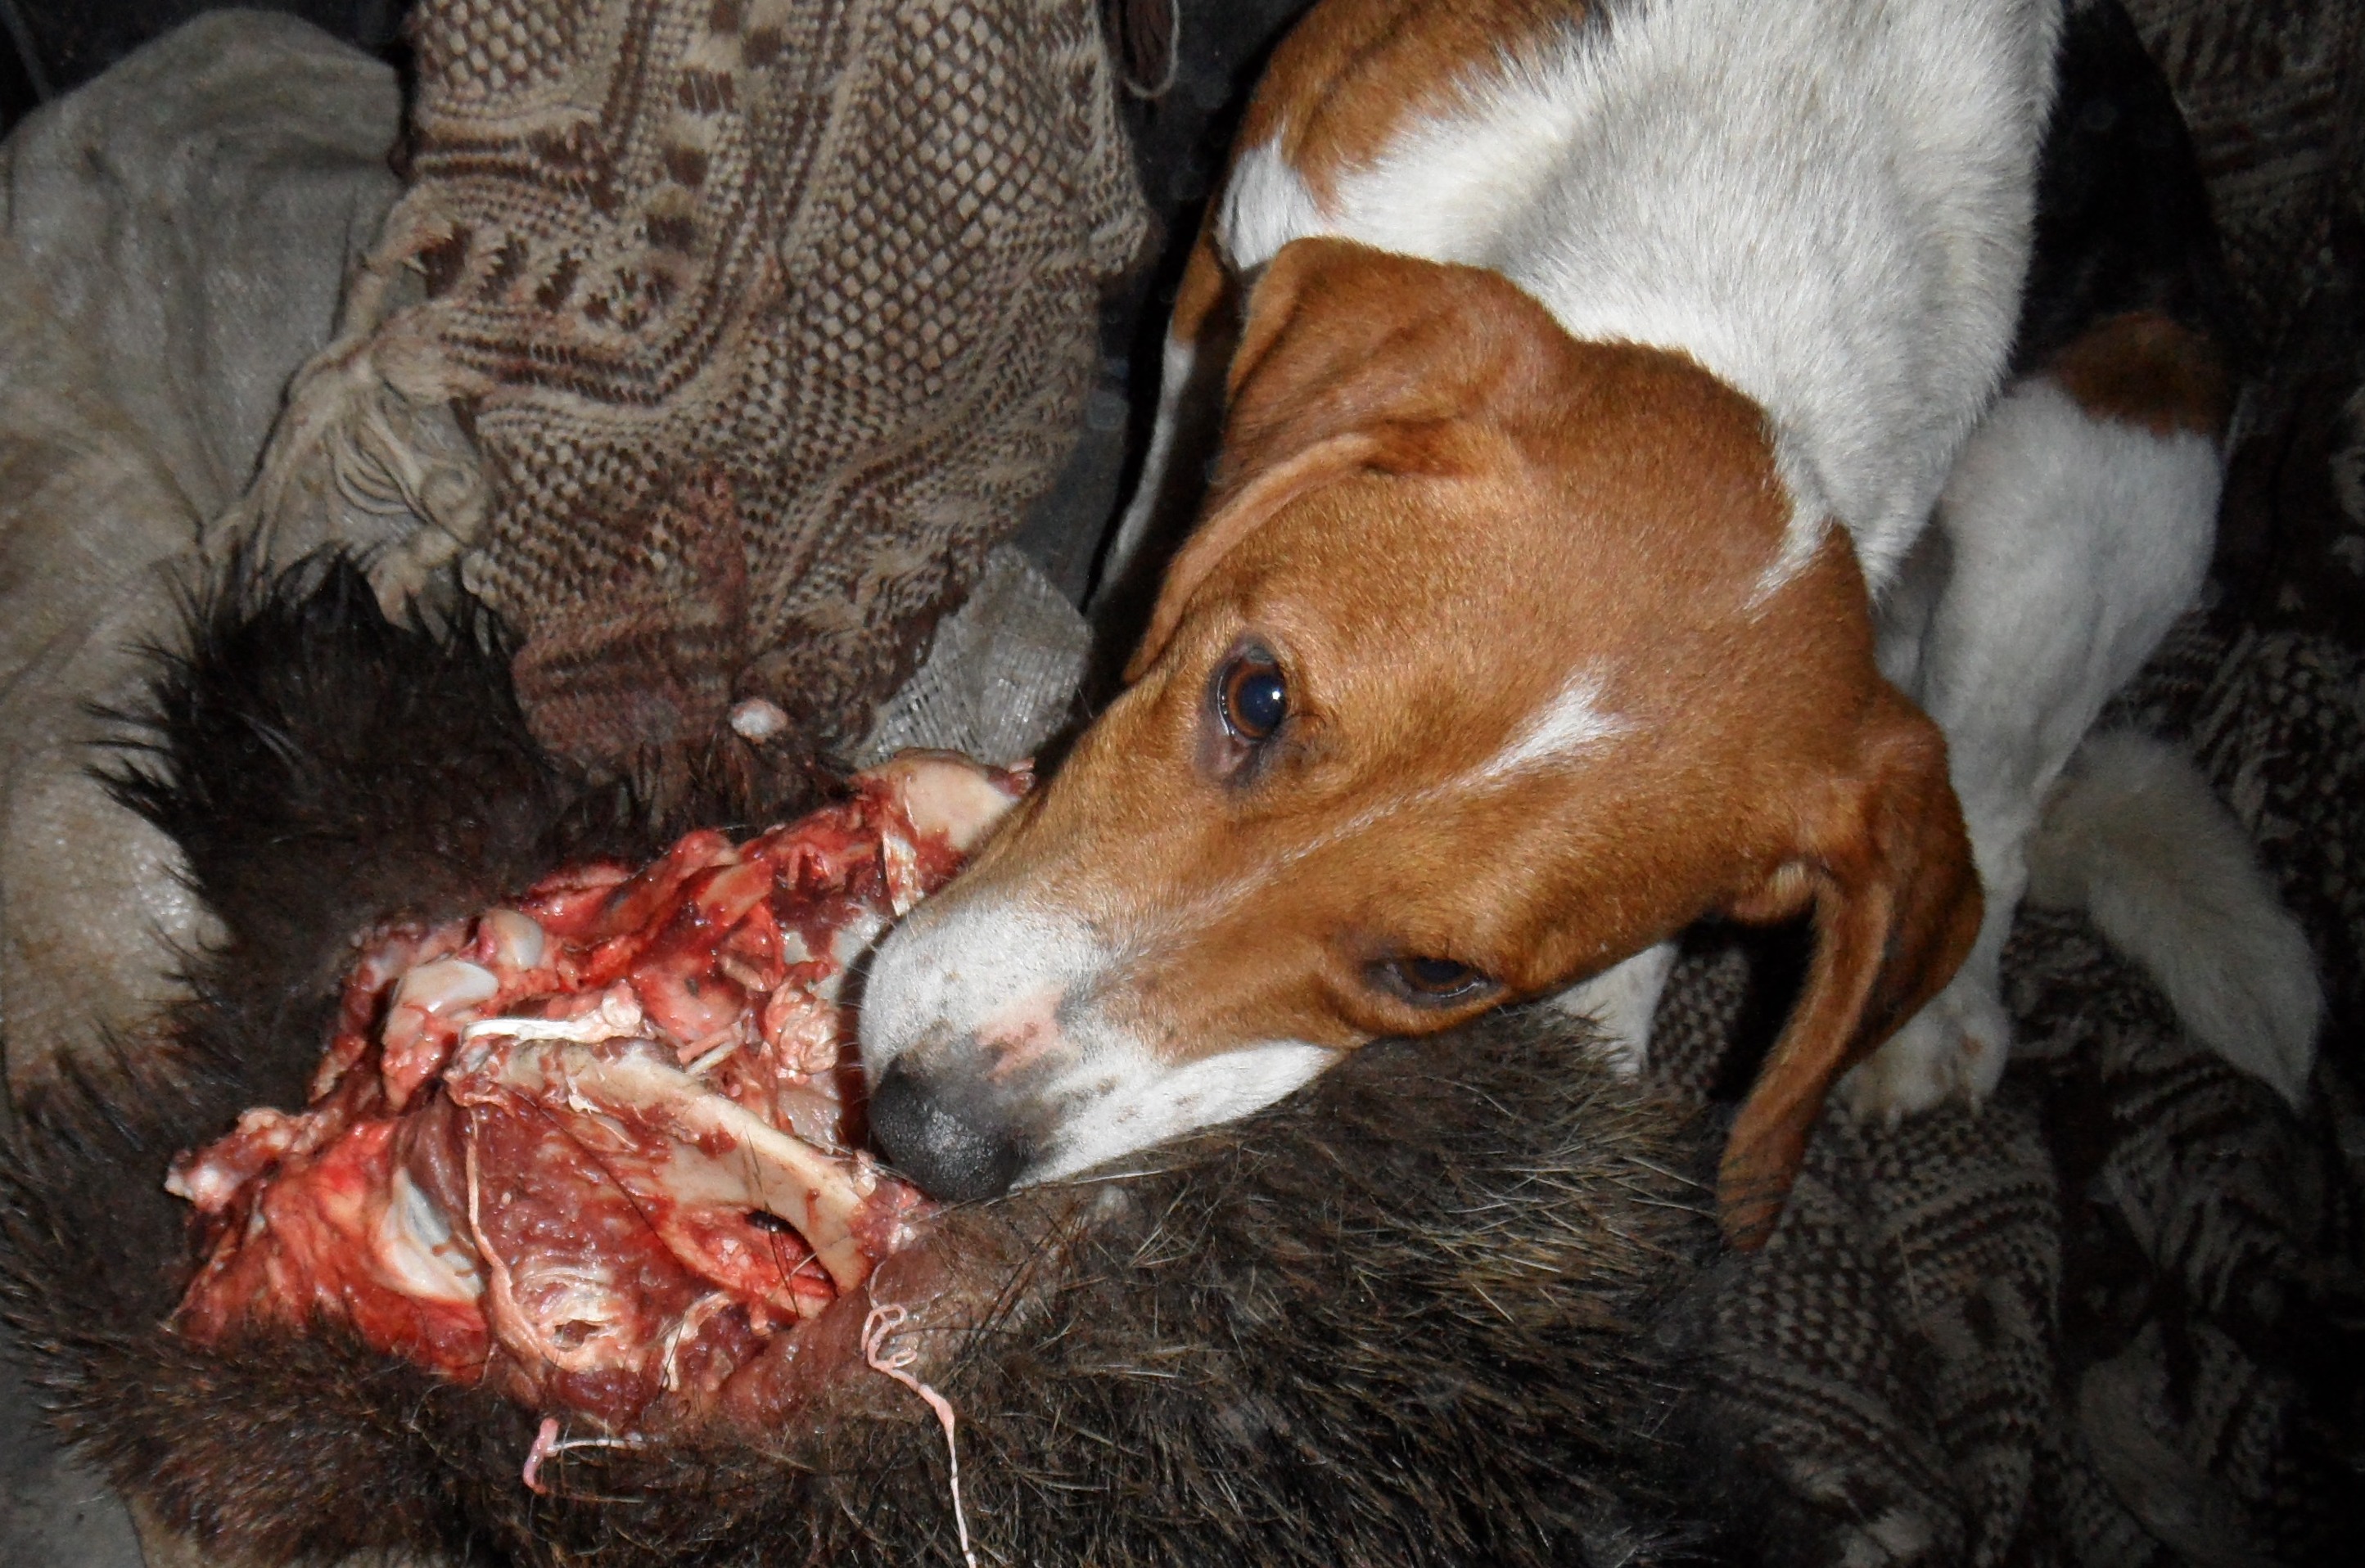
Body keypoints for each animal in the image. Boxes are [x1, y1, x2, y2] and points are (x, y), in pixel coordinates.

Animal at [858, 0, 2321, 1242]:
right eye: (1253, 696)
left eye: (1436, 976)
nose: (929, 1133)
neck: (1731, 230)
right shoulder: (1232, 259)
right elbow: (1160, 515)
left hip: (2077, 492)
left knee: (1999, 818)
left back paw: (1934, 1023)